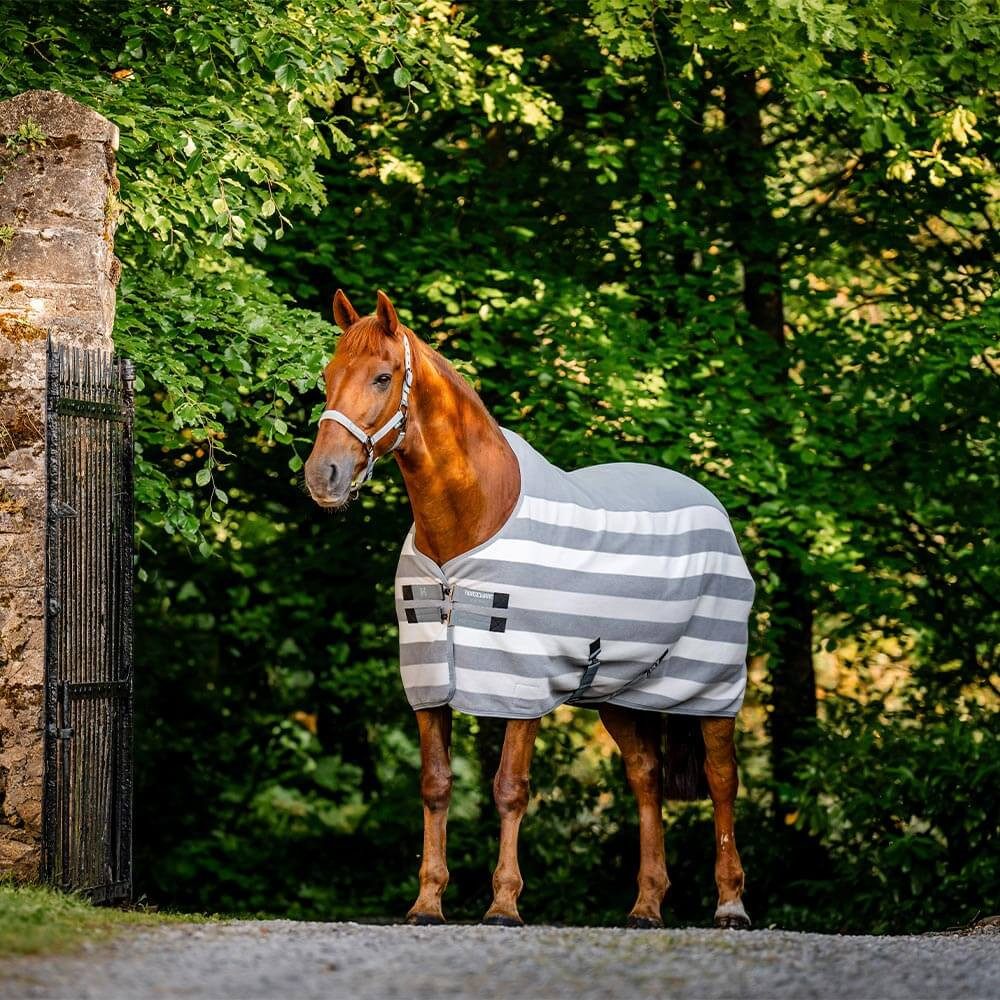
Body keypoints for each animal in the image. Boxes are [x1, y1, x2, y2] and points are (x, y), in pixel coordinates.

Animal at [304, 289, 752, 931]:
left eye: (382, 377)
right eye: (327, 376)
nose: (325, 477)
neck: (470, 523)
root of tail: (711, 504)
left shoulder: (523, 682)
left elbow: (510, 786)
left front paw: (504, 904)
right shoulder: (429, 681)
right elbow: (435, 785)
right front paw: (427, 902)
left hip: (713, 679)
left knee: (721, 780)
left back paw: (730, 904)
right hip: (619, 691)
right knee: (646, 778)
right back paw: (645, 906)